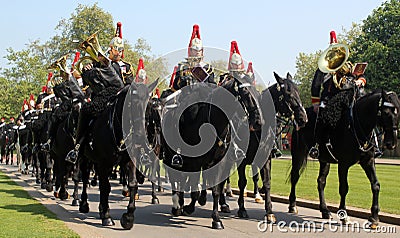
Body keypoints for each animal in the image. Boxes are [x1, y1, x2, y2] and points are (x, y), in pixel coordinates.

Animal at [290, 89, 398, 227]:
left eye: (398, 112)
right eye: (386, 112)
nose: (391, 143)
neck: (357, 125)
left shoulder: (368, 162)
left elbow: (376, 185)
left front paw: (374, 217)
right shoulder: (343, 164)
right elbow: (344, 188)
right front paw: (344, 215)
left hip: (324, 160)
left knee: (321, 181)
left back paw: (325, 211)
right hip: (298, 154)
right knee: (295, 177)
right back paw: (293, 205)